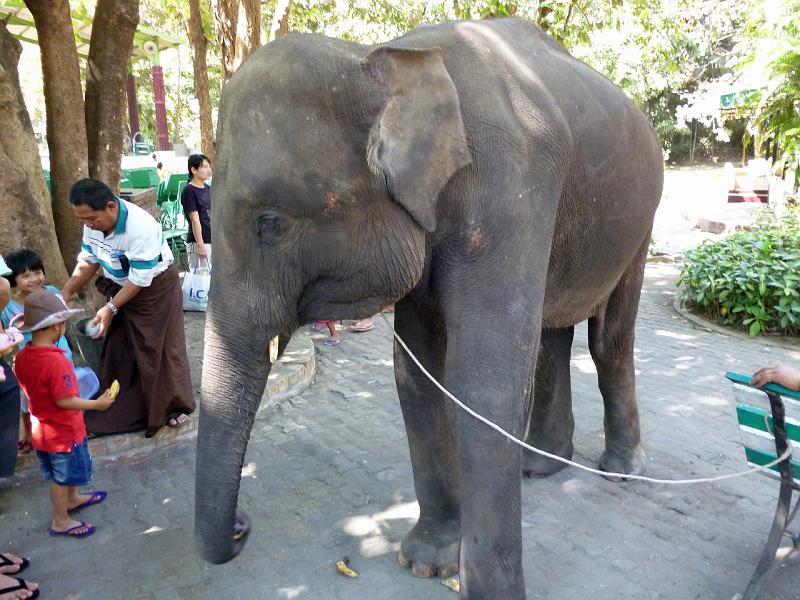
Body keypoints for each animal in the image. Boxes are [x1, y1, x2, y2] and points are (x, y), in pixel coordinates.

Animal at [197, 17, 664, 600]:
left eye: (270, 223)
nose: (242, 527)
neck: (386, 58)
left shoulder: (512, 190)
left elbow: (483, 383)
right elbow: (417, 375)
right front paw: (425, 563)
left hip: (641, 221)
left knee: (609, 340)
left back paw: (620, 470)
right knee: (551, 333)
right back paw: (539, 466)